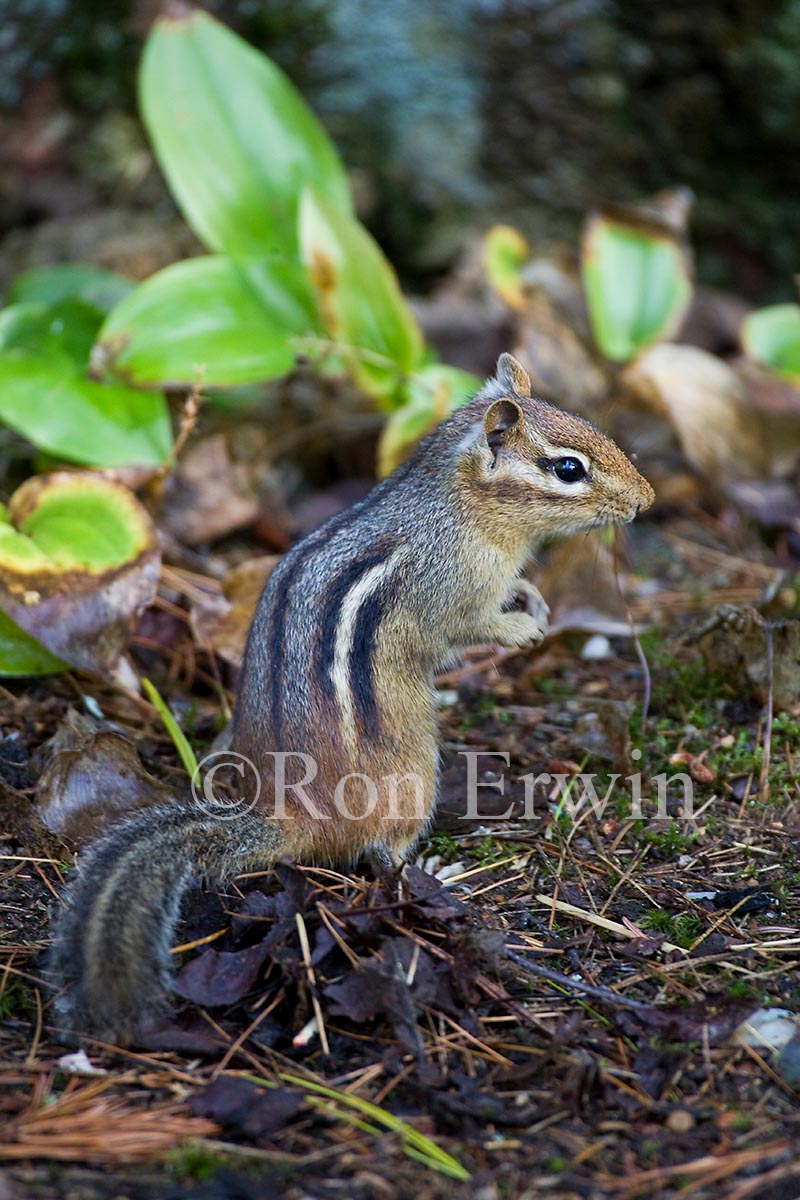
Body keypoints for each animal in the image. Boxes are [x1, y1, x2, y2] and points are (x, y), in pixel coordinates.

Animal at [48, 354, 654, 1045]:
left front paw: (532, 597)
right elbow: (469, 629)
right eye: (568, 469)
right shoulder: (452, 591)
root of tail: (282, 810)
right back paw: (432, 875)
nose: (645, 500)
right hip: (415, 773)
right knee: (381, 855)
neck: (457, 505)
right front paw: (521, 630)